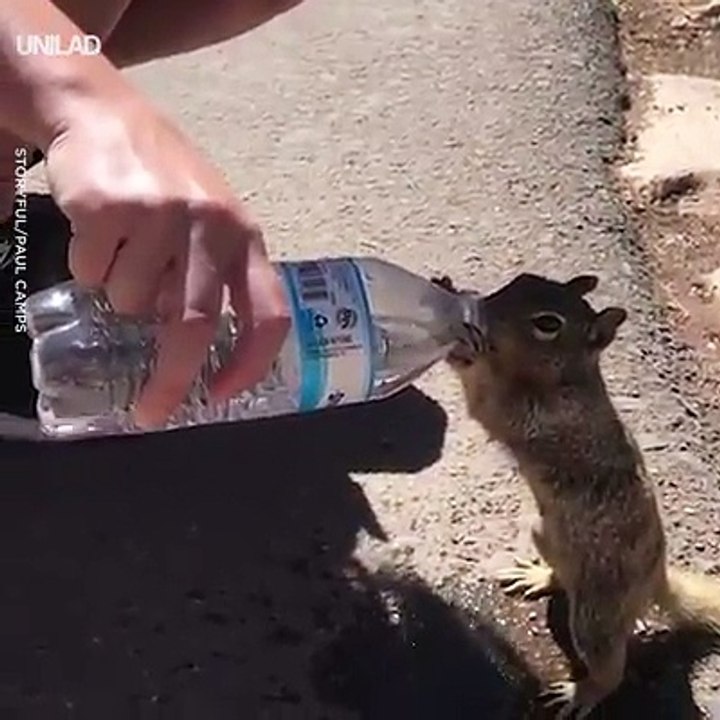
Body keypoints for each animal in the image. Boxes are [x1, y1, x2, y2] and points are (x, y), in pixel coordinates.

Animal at [431, 272, 720, 719]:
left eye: (548, 324)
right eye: (521, 280)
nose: (482, 311)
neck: (566, 379)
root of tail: (655, 578)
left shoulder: (534, 415)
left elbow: (486, 399)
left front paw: (461, 343)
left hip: (596, 613)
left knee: (609, 667)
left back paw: (580, 693)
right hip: (544, 533)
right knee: (562, 578)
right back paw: (539, 576)